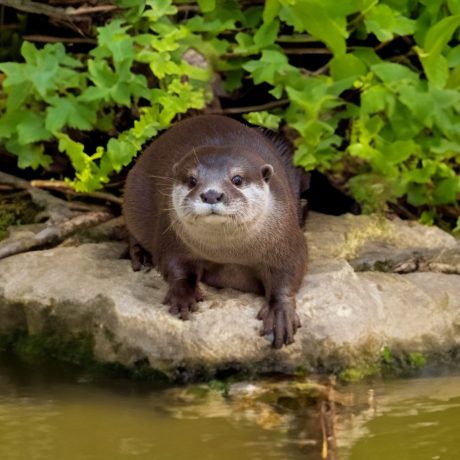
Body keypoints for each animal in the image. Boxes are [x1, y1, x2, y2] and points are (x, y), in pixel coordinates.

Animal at [124, 115, 308, 348]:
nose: (211, 194)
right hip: (134, 193)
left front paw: (279, 314)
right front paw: (182, 295)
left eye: (237, 179)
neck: (228, 253)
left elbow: (289, 271)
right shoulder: (172, 235)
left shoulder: (287, 238)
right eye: (192, 180)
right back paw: (142, 256)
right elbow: (174, 265)